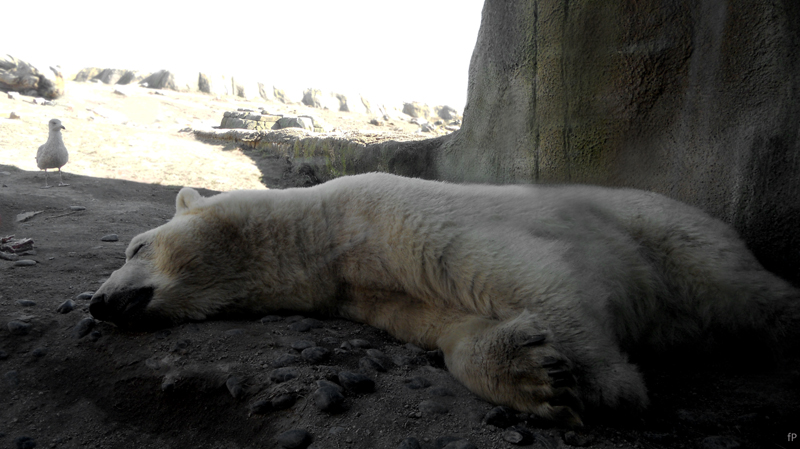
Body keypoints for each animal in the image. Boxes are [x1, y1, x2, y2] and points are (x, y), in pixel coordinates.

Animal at [90, 173, 796, 426]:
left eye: (135, 247)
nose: (97, 304)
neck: (320, 234)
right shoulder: (363, 291)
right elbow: (444, 320)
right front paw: (537, 375)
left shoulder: (391, 212)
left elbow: (517, 268)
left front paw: (606, 382)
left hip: (667, 232)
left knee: (739, 288)